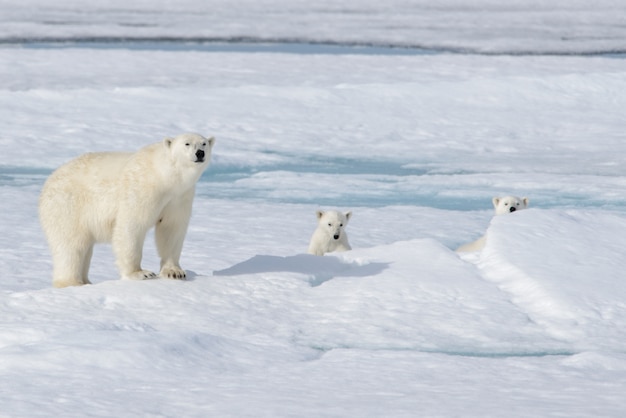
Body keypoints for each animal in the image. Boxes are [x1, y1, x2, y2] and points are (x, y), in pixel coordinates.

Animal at [39, 134, 214, 288]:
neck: (165, 175)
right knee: (71, 246)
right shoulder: (143, 188)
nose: (200, 153)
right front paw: (141, 273)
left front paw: (175, 272)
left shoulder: (179, 197)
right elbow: (131, 225)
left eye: (204, 143)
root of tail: (48, 182)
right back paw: (72, 283)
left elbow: (171, 229)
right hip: (68, 206)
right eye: (187, 143)